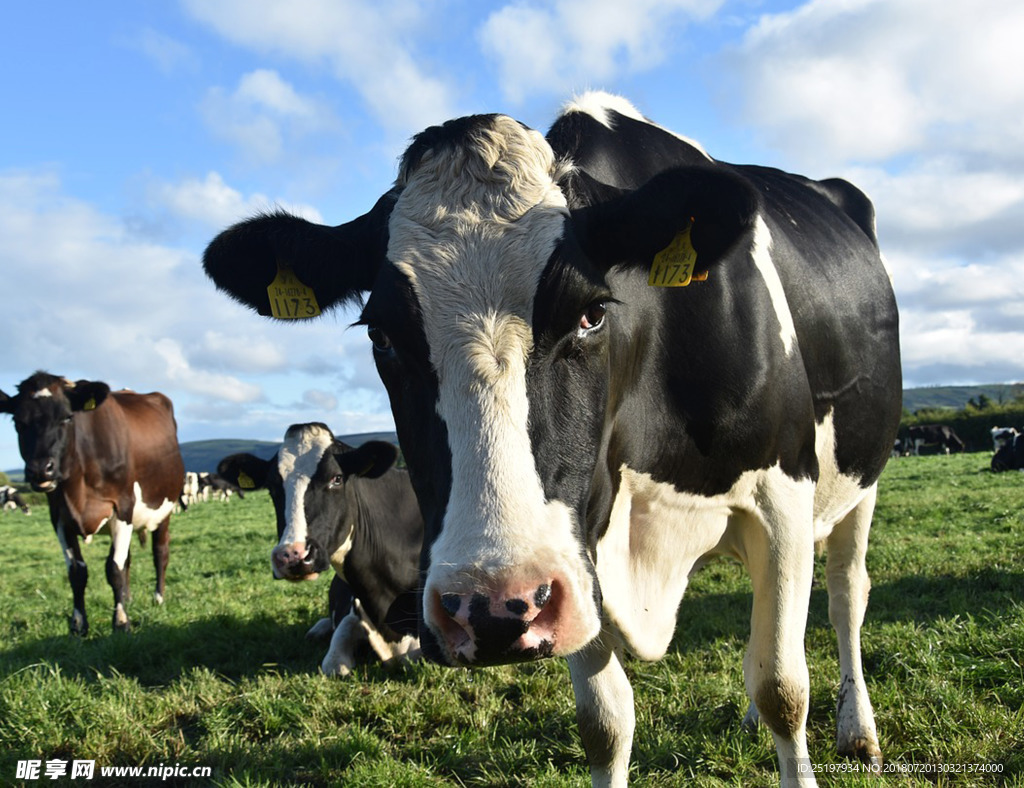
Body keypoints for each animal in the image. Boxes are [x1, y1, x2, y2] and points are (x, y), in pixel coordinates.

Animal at [1, 368, 184, 630]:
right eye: (18, 422)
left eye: (67, 417)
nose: (40, 470)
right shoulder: (59, 517)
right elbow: (77, 572)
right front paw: (78, 623)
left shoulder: (123, 508)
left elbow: (114, 568)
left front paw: (121, 621)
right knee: (128, 557)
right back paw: (127, 597)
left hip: (164, 509)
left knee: (160, 552)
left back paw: (158, 597)